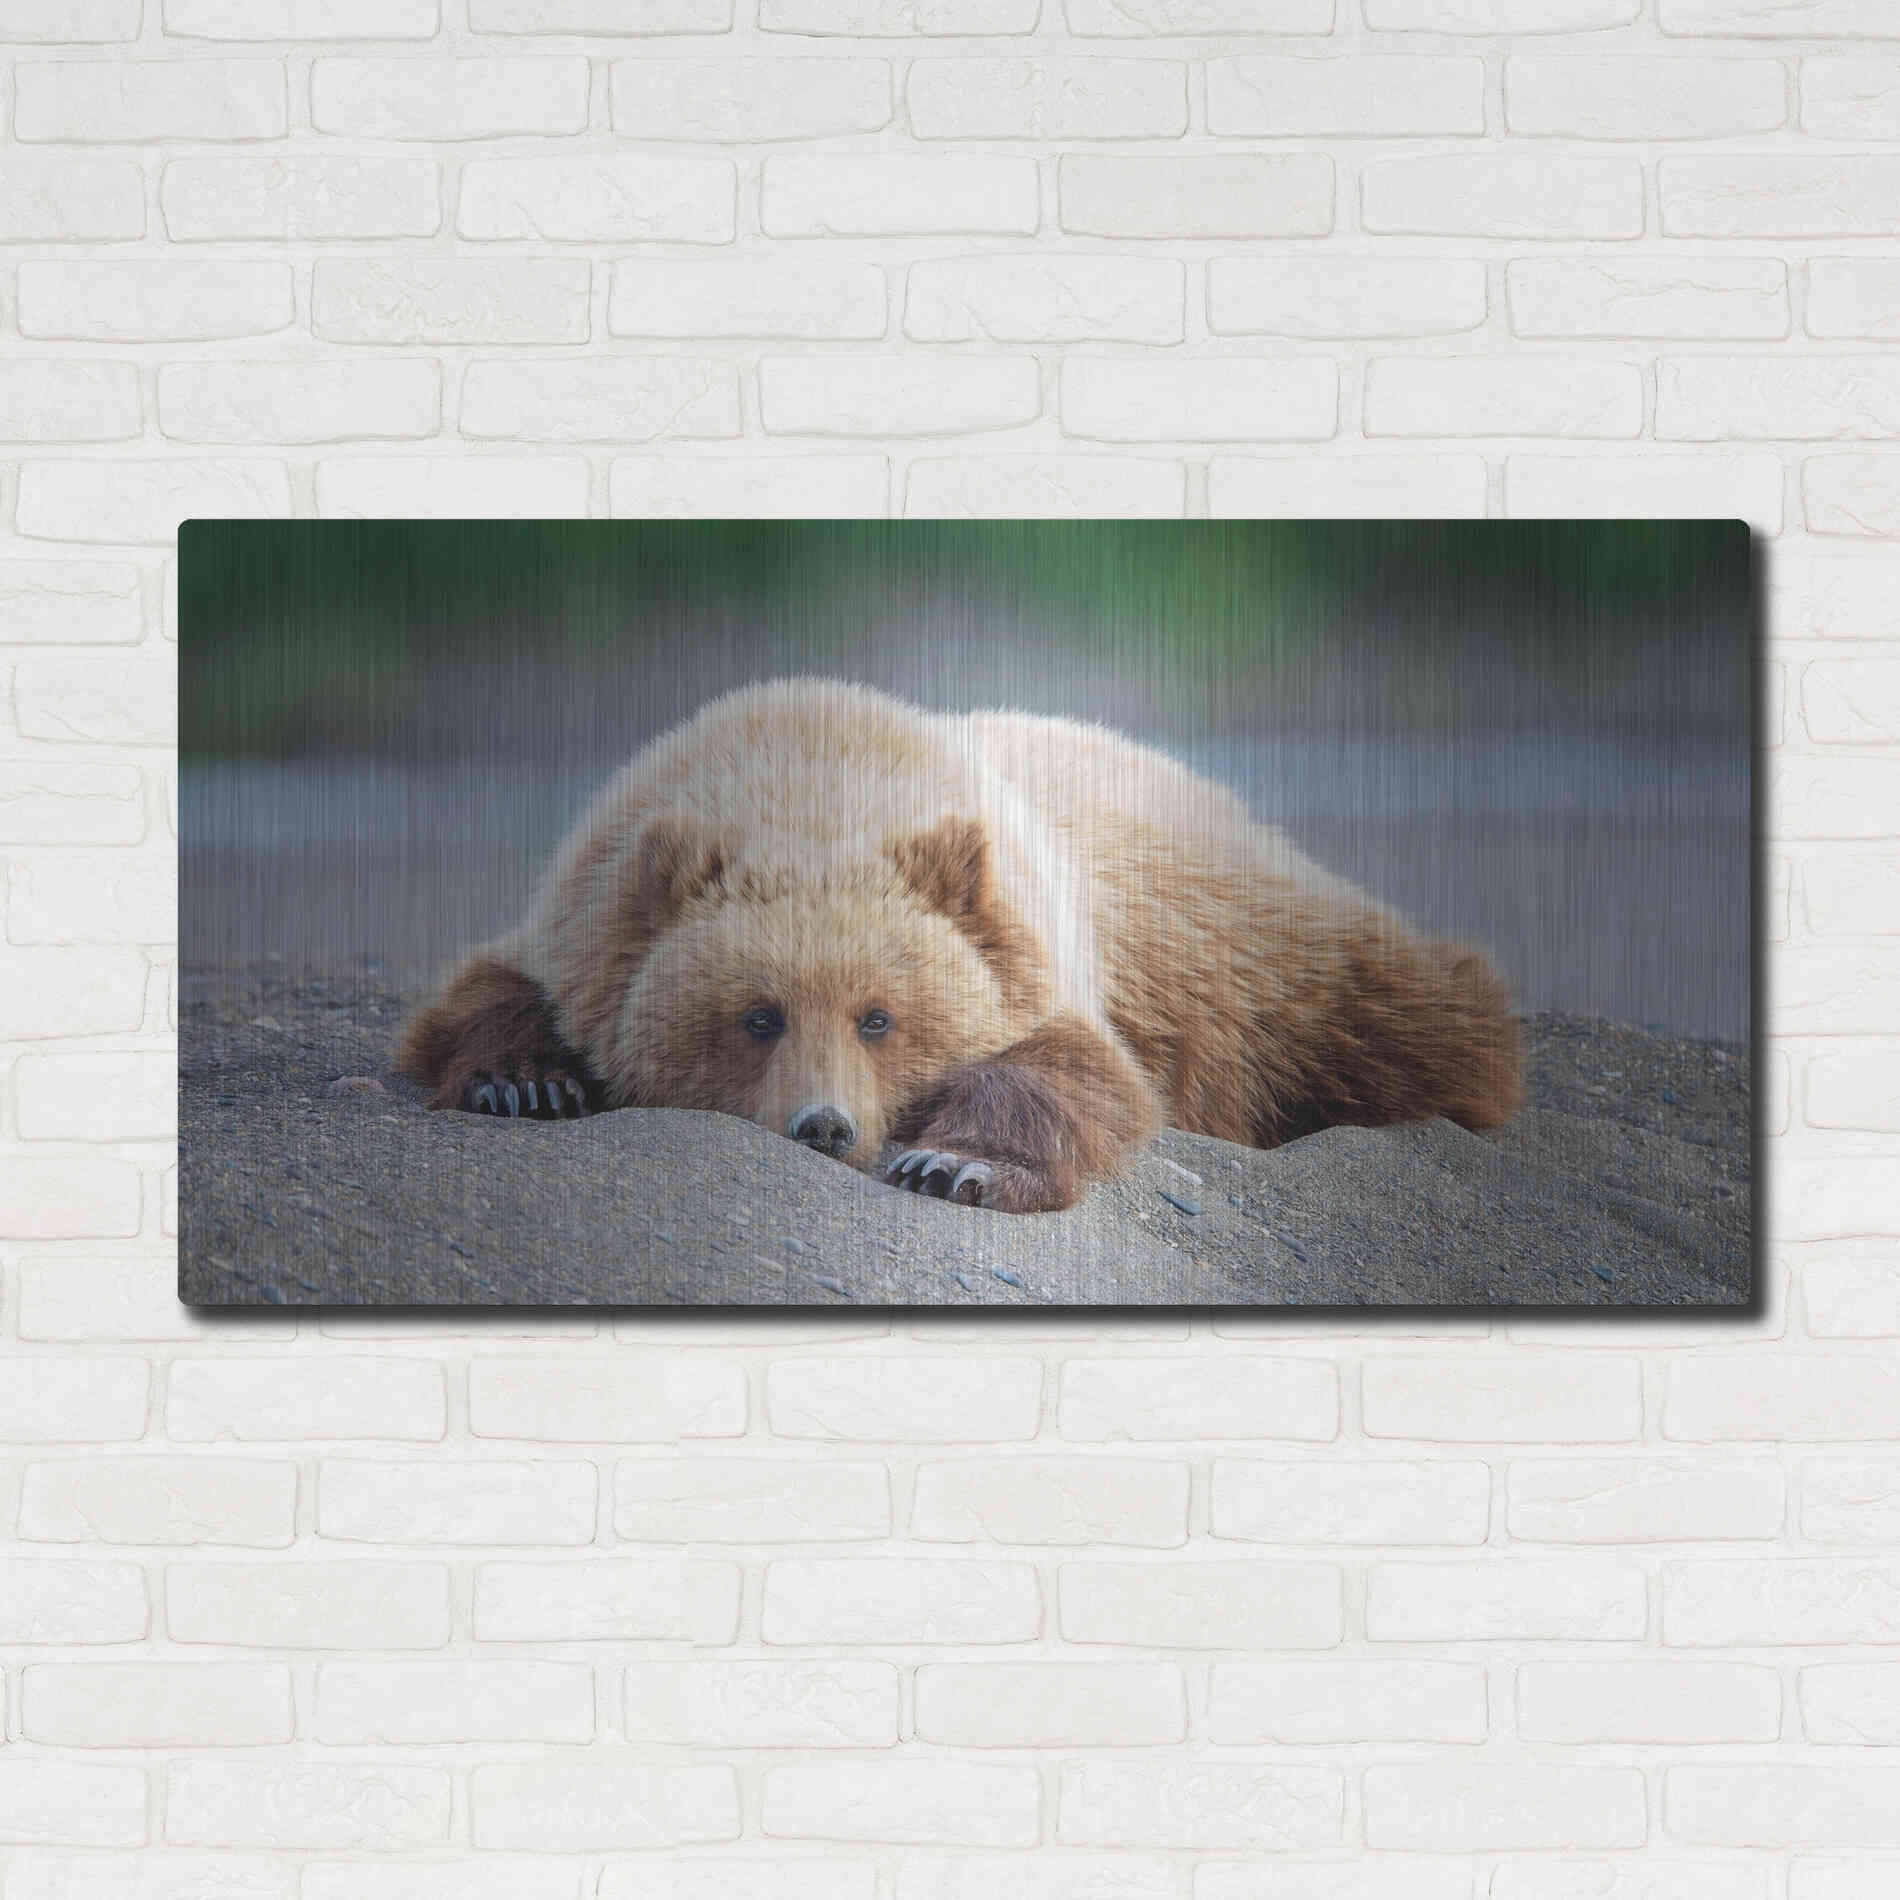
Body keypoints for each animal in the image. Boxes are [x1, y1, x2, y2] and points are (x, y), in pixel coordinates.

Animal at [396, 677, 1524, 1215]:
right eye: (758, 1015)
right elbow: (486, 993)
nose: (823, 1126)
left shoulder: (1039, 947)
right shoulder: (587, 911)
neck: (808, 781)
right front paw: (525, 1082)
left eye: (879, 1016)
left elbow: (1070, 1073)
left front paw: (951, 1163)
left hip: (1246, 950)